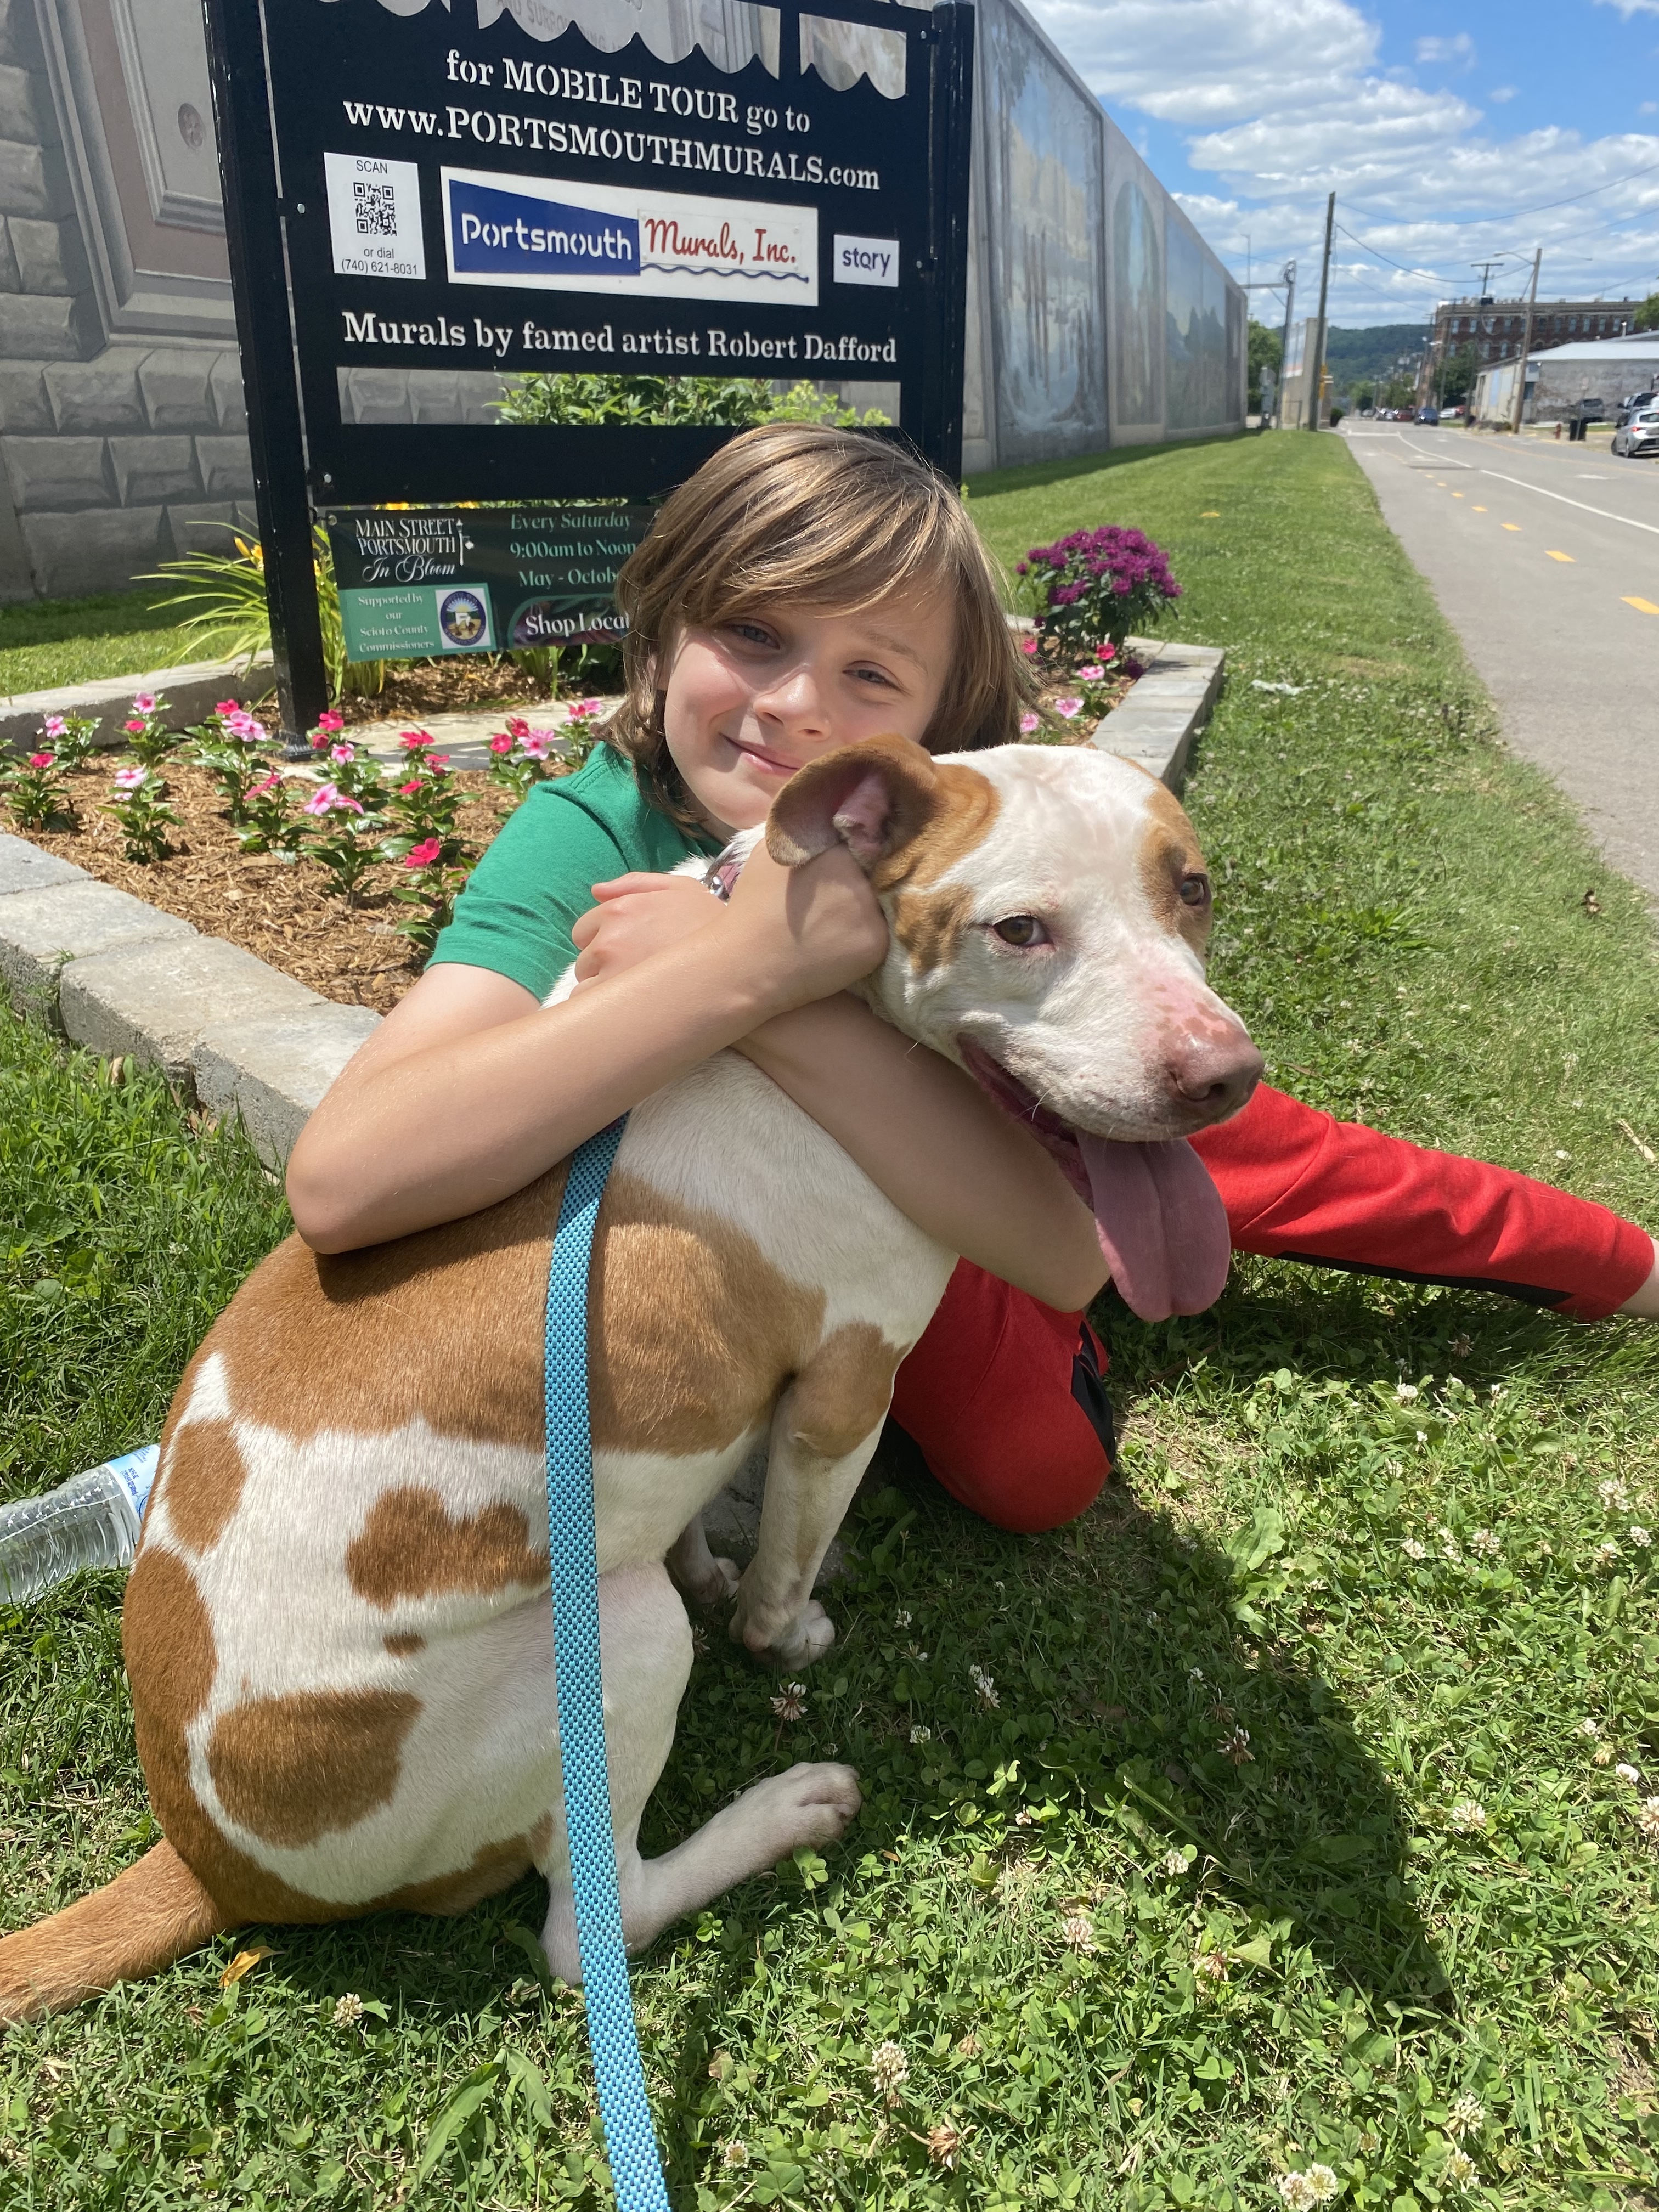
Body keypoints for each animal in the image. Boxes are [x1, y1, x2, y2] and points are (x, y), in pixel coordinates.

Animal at [0, 734, 1256, 2017]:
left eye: (1192, 889)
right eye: (1019, 929)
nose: (1226, 1077)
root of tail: (210, 1862)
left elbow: (702, 1506)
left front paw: (711, 1561)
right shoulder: (845, 1389)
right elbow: (781, 1575)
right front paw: (781, 1631)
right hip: (617, 1640)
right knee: (591, 1925)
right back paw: (779, 1813)